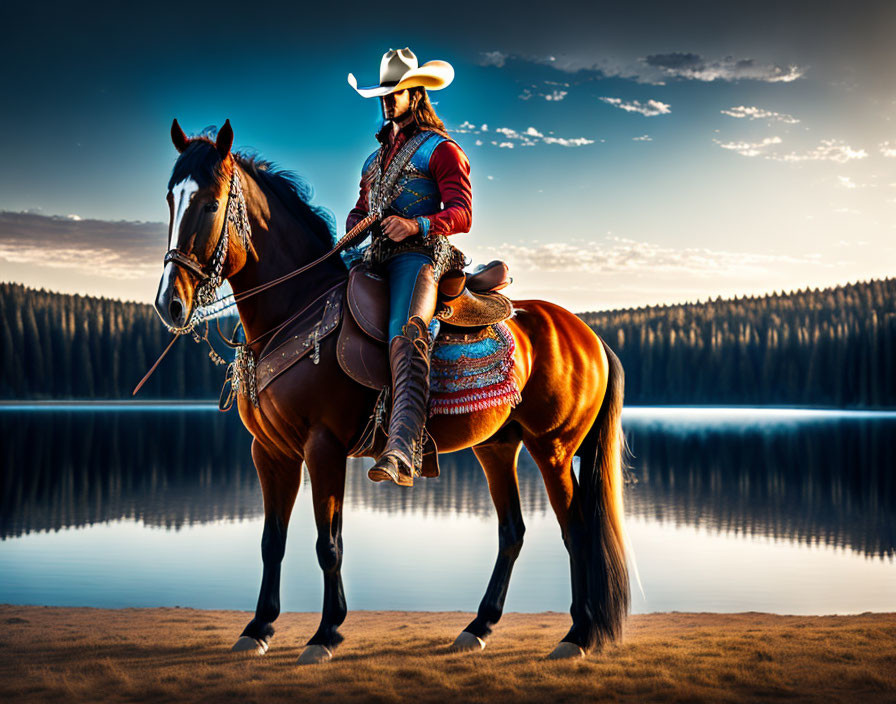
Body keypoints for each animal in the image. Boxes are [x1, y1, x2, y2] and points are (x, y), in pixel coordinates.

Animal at [154, 118, 632, 664]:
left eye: (211, 205)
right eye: (170, 200)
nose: (169, 303)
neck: (293, 311)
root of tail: (590, 335)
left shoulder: (323, 447)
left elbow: (328, 543)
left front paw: (326, 634)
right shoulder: (269, 452)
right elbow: (271, 541)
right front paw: (258, 629)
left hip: (552, 447)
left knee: (577, 531)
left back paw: (578, 635)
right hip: (497, 446)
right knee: (512, 531)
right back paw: (478, 627)